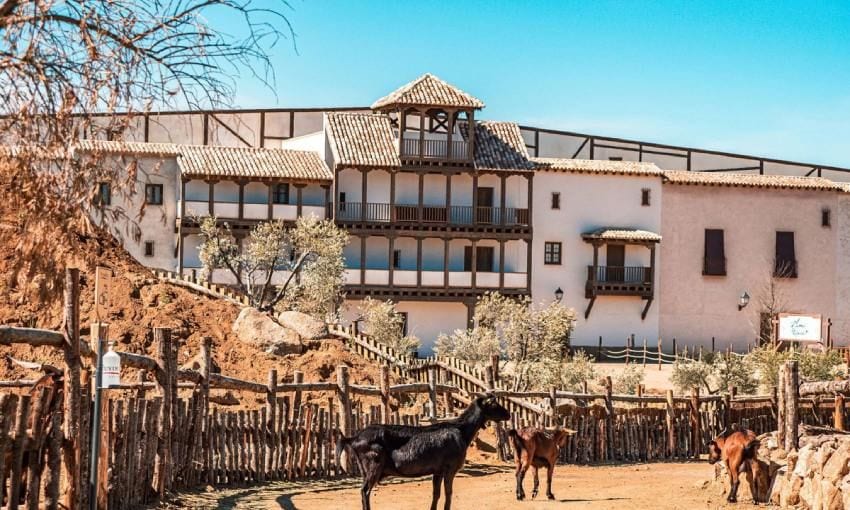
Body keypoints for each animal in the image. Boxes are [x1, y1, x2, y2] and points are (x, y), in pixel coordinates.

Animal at [336, 394, 510, 510]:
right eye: (493, 404)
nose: (508, 414)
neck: (461, 430)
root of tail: (353, 438)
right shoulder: (450, 469)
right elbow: (448, 493)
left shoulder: (437, 471)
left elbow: (436, 493)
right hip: (373, 465)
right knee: (365, 491)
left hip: (365, 469)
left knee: (363, 491)